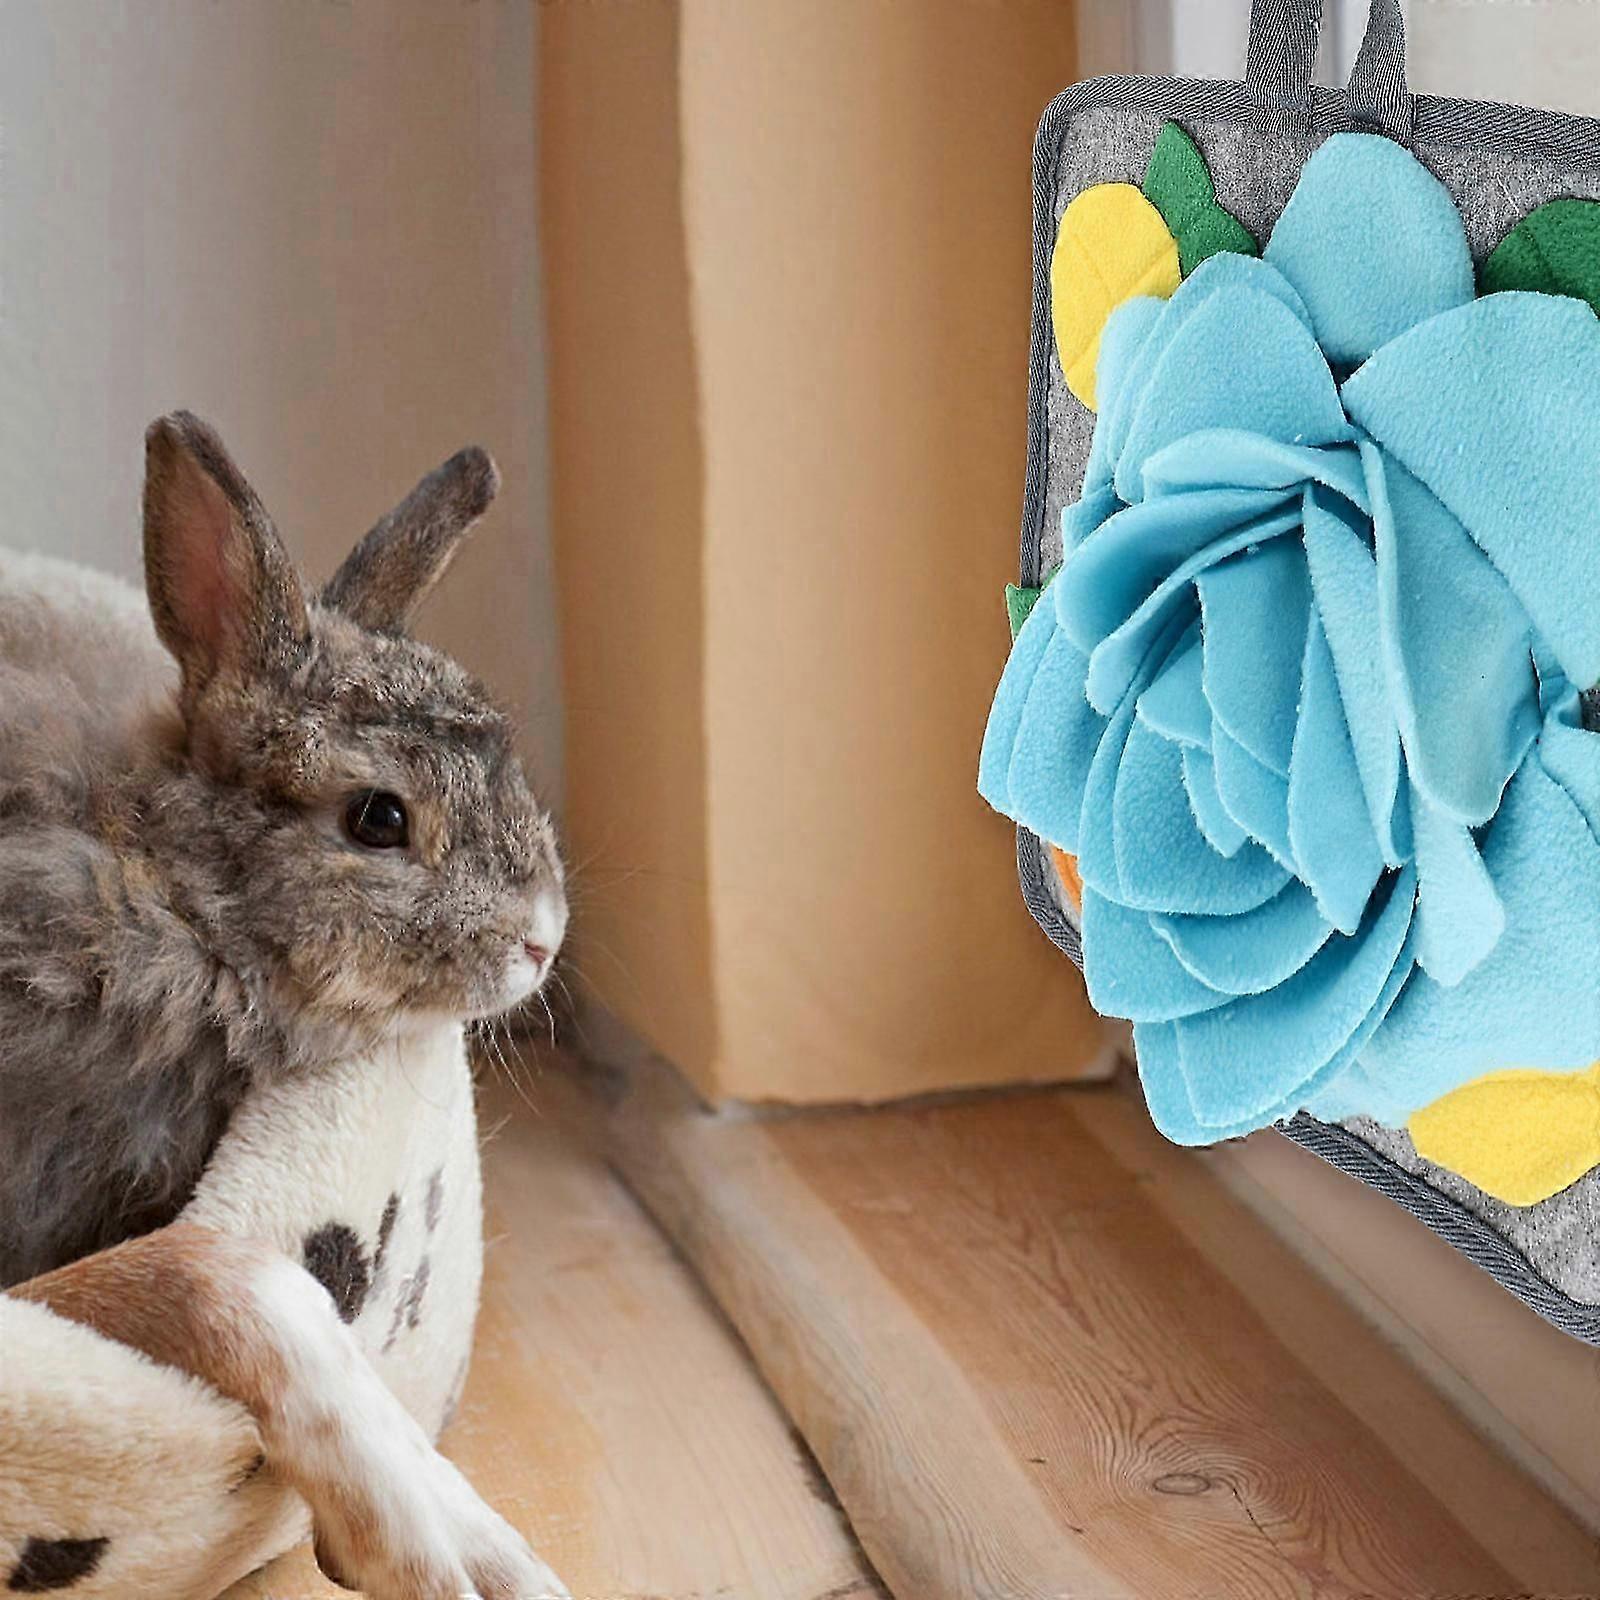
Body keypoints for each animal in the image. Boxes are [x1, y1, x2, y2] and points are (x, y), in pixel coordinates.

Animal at [1, 412, 571, 1600]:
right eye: (377, 818)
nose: (542, 936)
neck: (178, 898)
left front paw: (501, 1557)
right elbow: (232, 1277)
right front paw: (407, 1546)